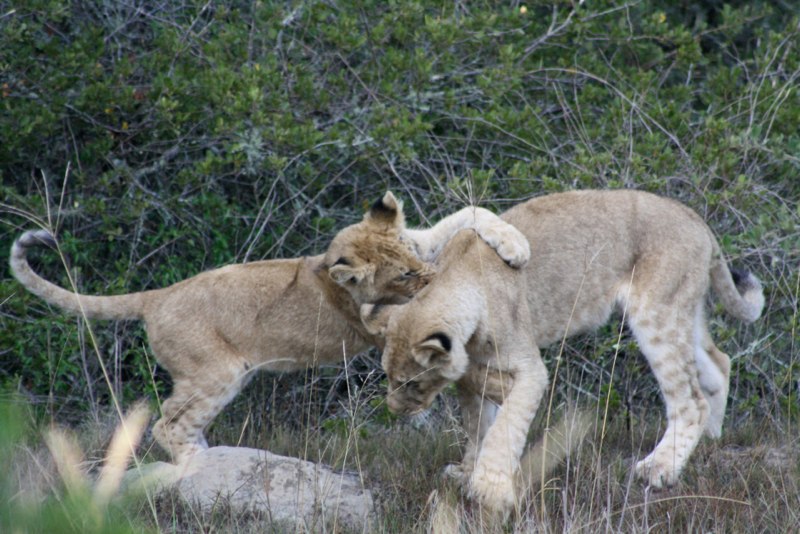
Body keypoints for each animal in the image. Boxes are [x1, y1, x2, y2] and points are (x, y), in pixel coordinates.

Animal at [10, 203, 529, 463]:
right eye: (401, 274)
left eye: (409, 254)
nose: (431, 275)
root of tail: (156, 296)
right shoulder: (378, 323)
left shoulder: (428, 239)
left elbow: (471, 211)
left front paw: (515, 244)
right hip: (216, 374)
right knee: (166, 423)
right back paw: (201, 465)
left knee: (178, 421)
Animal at [323, 189, 765, 498]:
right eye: (390, 378)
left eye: (411, 382)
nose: (395, 410)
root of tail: (697, 219)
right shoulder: (473, 373)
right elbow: (478, 425)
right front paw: (466, 472)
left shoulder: (530, 368)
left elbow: (504, 429)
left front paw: (487, 487)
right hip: (682, 312)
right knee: (718, 363)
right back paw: (710, 441)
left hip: (655, 314)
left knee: (689, 398)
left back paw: (659, 470)